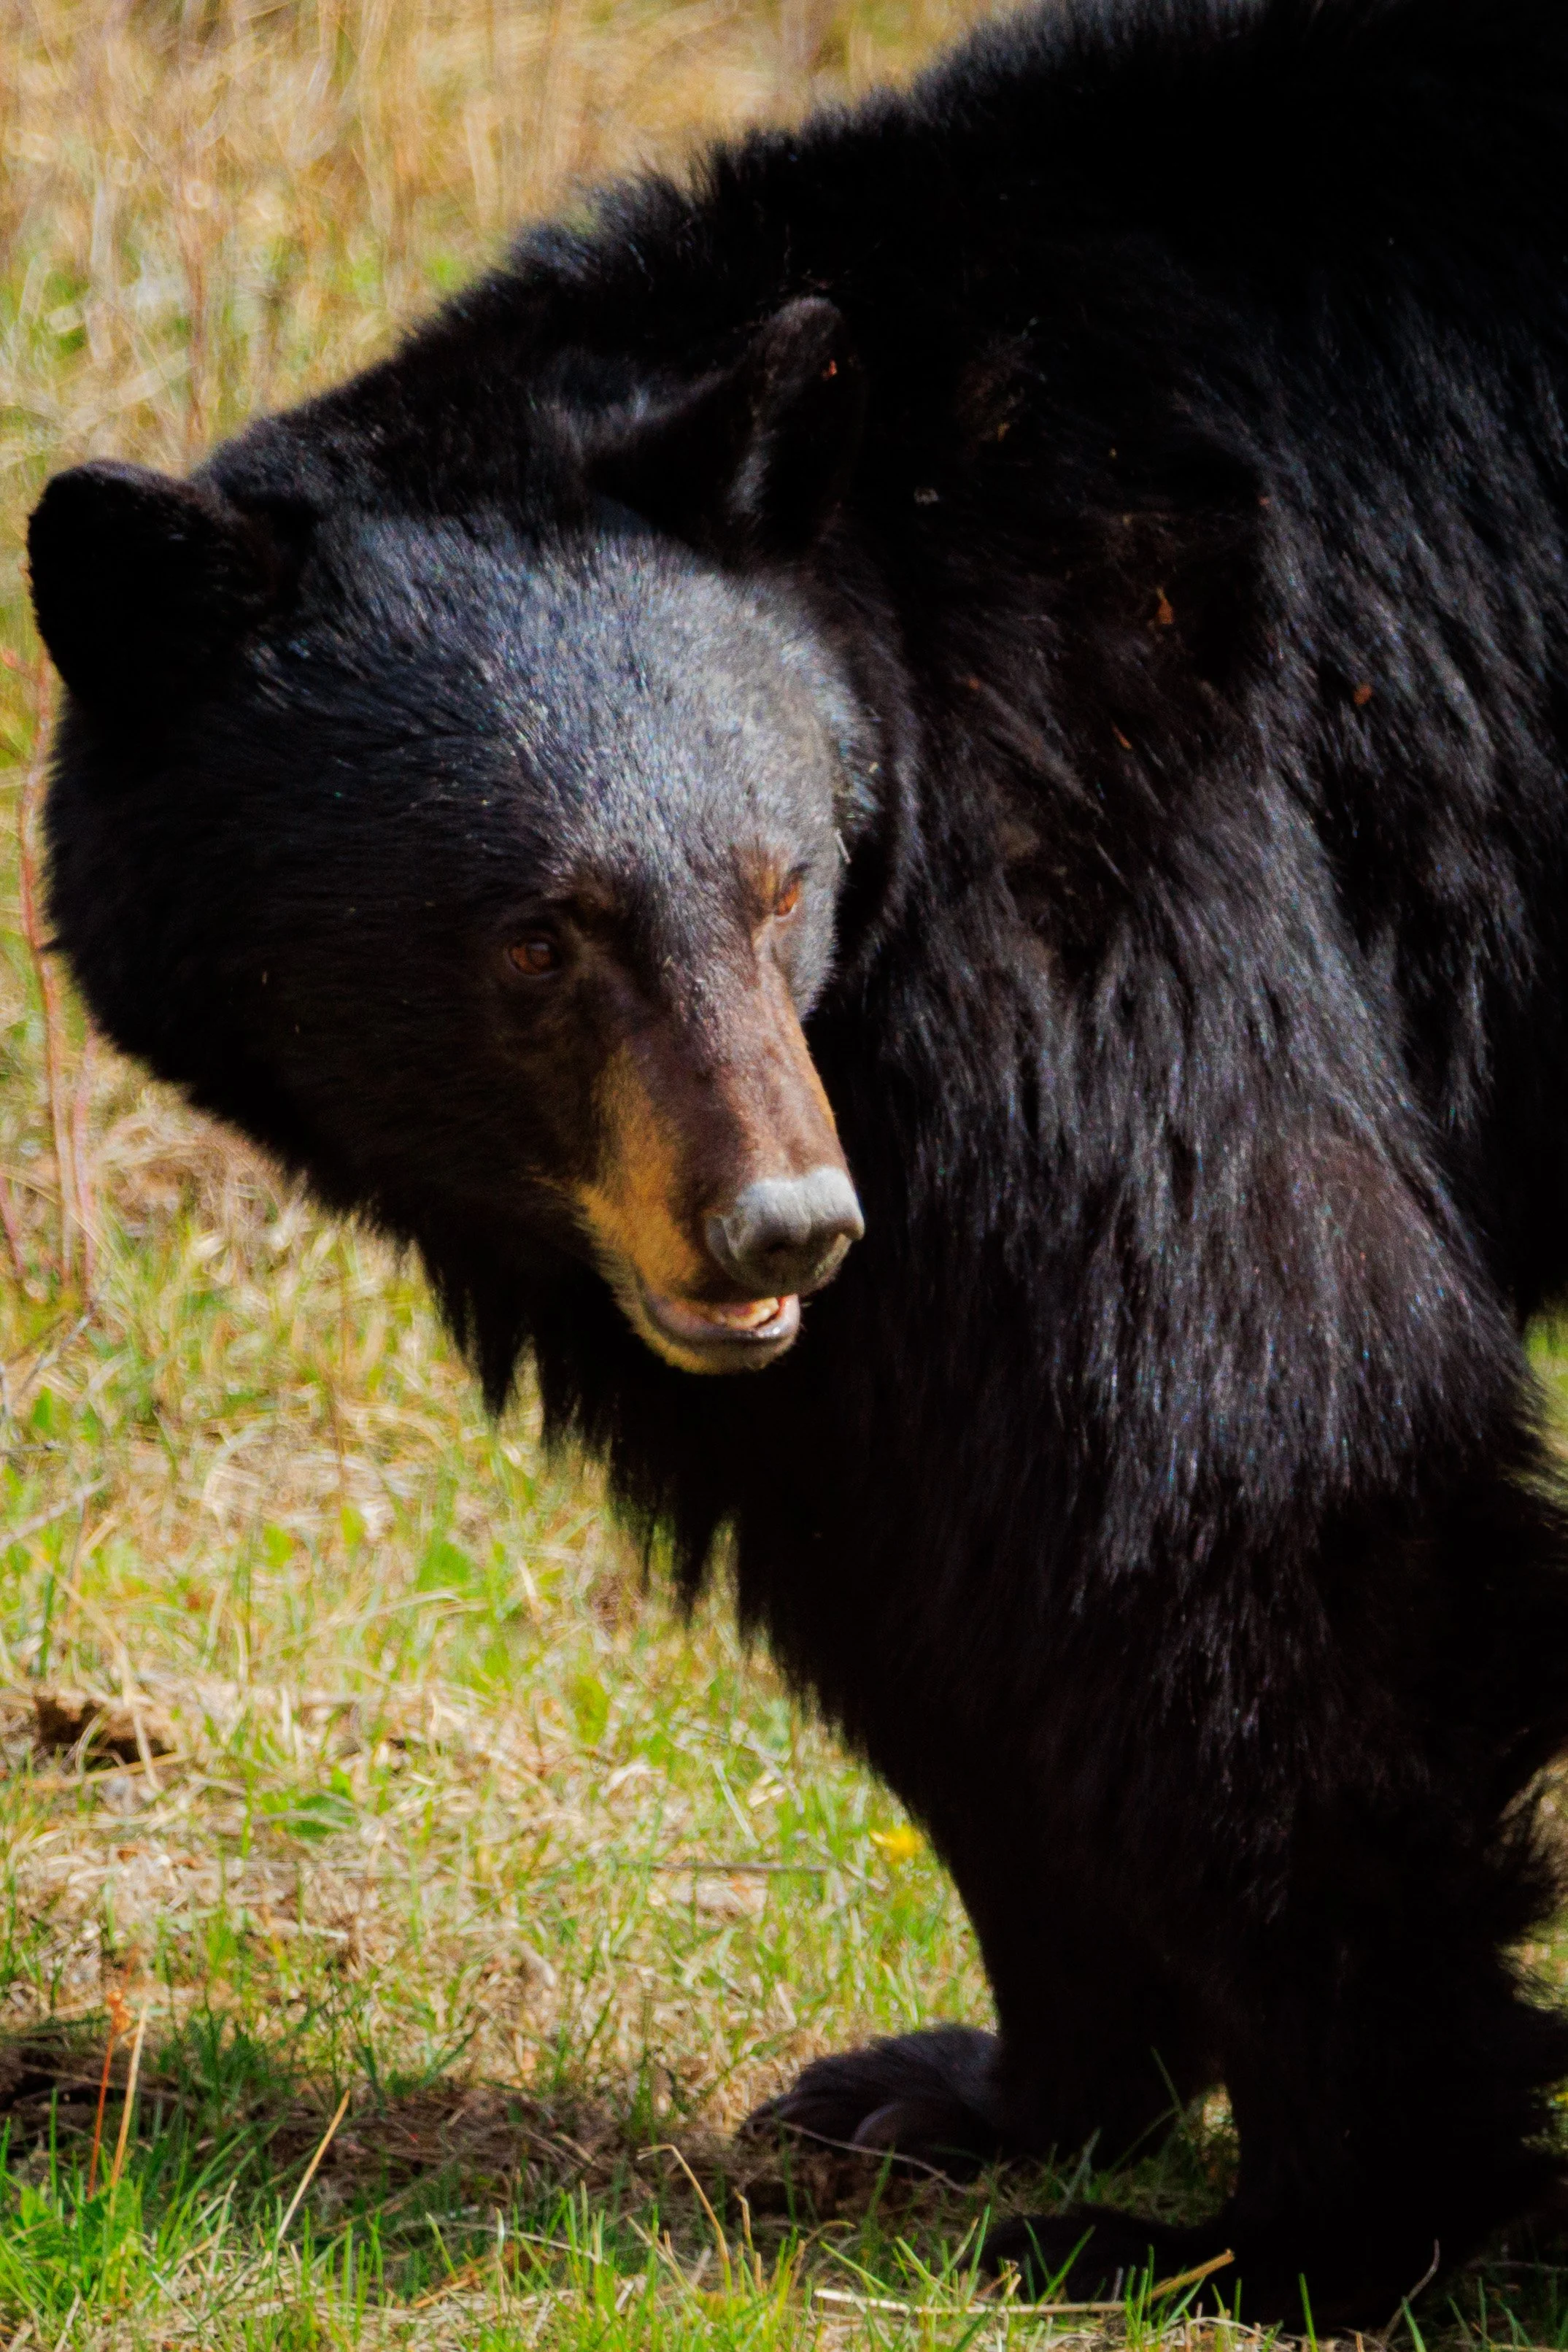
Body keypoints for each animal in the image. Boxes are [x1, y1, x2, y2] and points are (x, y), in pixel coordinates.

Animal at [26, 0, 1568, 2320]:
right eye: (544, 932)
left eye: (774, 881)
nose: (780, 1225)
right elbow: (927, 1538)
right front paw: (975, 2084)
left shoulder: (1128, 829)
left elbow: (1256, 1448)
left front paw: (1300, 2227)